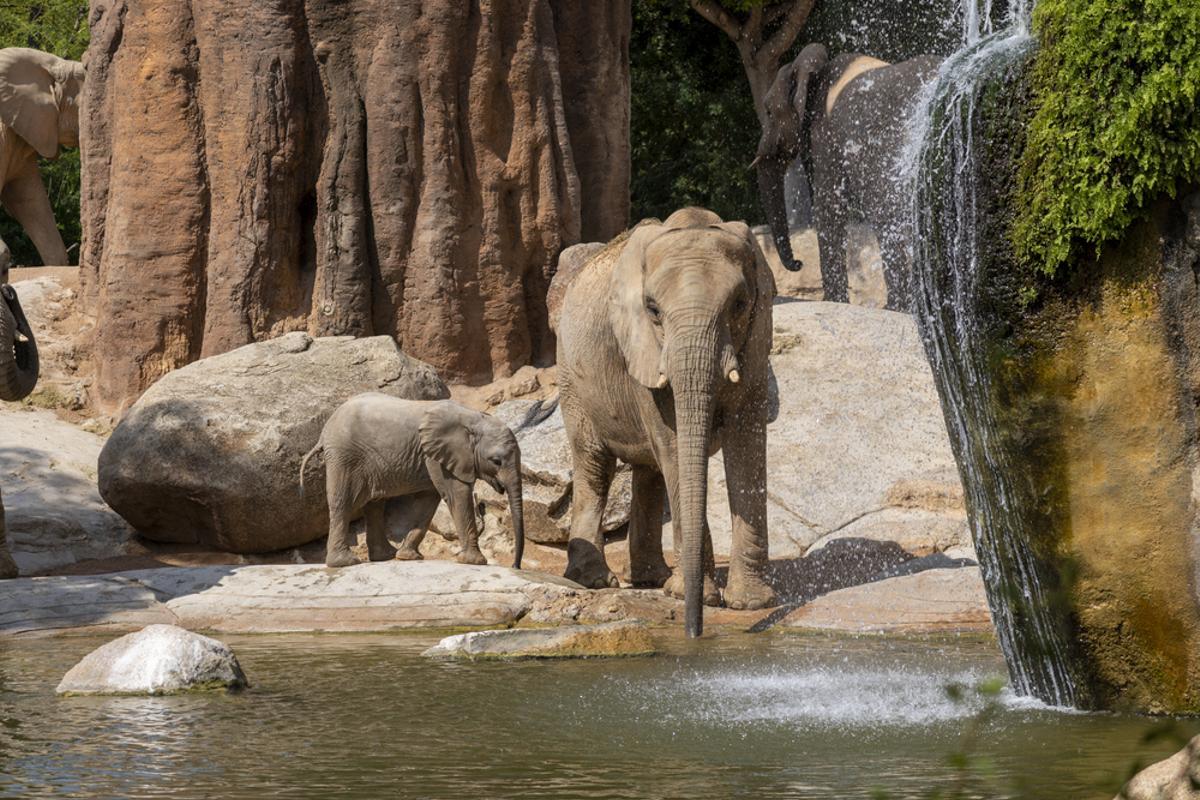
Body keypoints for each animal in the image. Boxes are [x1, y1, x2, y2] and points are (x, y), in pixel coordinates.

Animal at [300, 393, 525, 568]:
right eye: (496, 461)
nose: (515, 566)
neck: (473, 417)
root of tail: (324, 432)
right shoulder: (440, 456)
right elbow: (457, 494)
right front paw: (476, 562)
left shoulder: (433, 456)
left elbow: (429, 500)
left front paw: (408, 556)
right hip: (344, 456)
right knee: (344, 503)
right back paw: (345, 563)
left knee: (374, 505)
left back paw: (385, 556)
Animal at [554, 206, 777, 638]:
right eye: (653, 310)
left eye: (740, 303)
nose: (694, 632)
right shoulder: (642, 352)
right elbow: (674, 447)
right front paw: (694, 596)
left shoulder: (756, 342)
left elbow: (745, 447)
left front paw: (751, 603)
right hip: (571, 377)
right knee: (595, 464)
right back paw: (597, 581)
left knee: (649, 470)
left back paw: (651, 579)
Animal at [758, 42, 936, 311]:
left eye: (768, 111)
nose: (798, 264)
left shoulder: (825, 135)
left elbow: (829, 207)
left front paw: (835, 303)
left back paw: (896, 308)